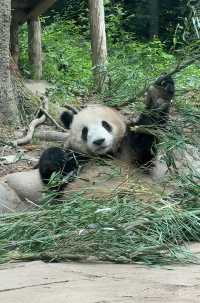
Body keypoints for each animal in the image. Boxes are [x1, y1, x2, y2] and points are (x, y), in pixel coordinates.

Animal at [0, 75, 173, 214]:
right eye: (85, 131)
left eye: (105, 125)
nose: (99, 141)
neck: (104, 156)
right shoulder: (78, 160)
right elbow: (54, 182)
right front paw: (56, 158)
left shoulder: (128, 153)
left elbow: (146, 135)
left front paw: (160, 92)